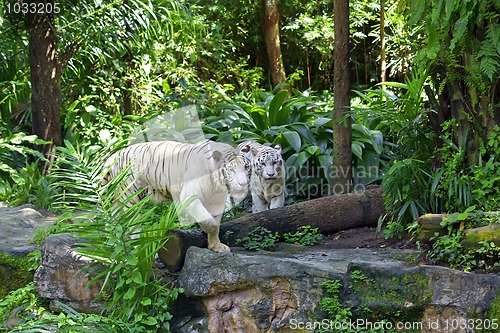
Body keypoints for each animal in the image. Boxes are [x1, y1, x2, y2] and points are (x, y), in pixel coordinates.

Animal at [102, 139, 250, 252]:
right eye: (231, 169)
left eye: (246, 167)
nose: (243, 184)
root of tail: (114, 155)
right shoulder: (189, 197)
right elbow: (211, 223)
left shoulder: (217, 201)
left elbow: (217, 225)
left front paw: (216, 246)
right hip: (131, 197)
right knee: (132, 223)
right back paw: (139, 248)